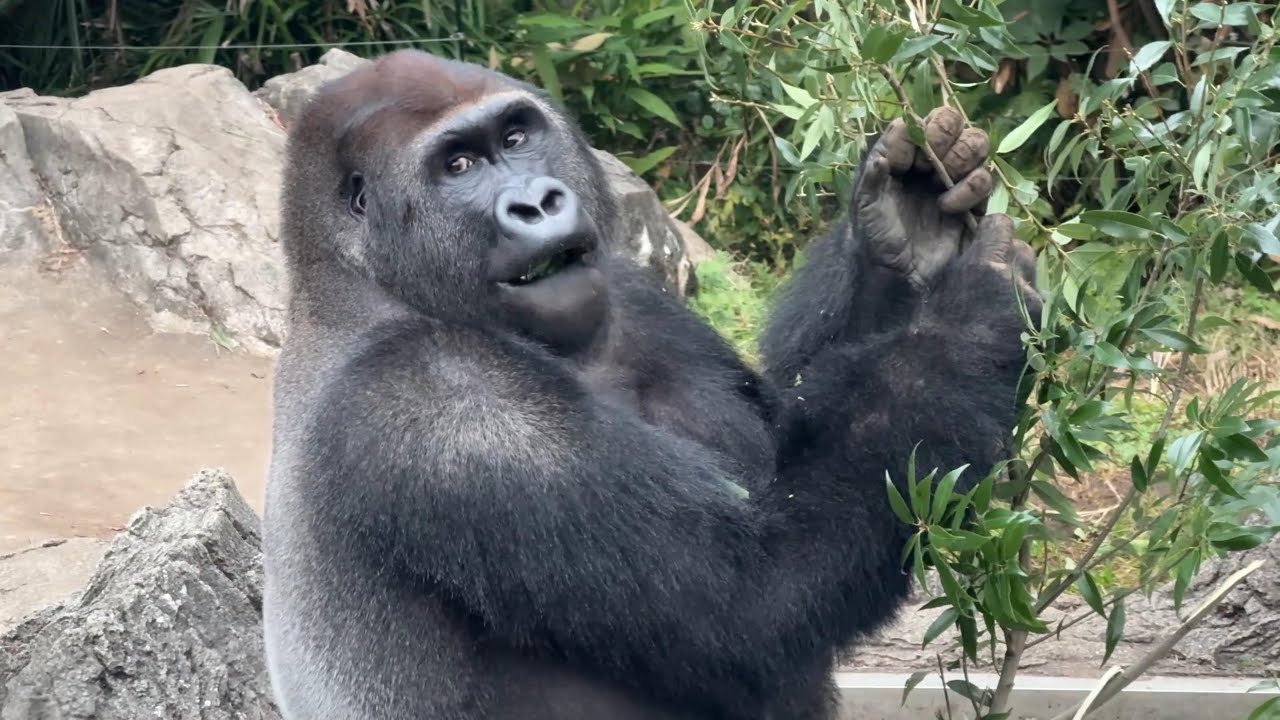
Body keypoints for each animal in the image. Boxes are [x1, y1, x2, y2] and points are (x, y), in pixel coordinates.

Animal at [261, 49, 1038, 720]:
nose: (537, 203)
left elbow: (792, 425)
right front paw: (971, 318)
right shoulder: (438, 398)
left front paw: (902, 223)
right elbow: (752, 604)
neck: (361, 282)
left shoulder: (629, 284)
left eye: (515, 136)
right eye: (458, 164)